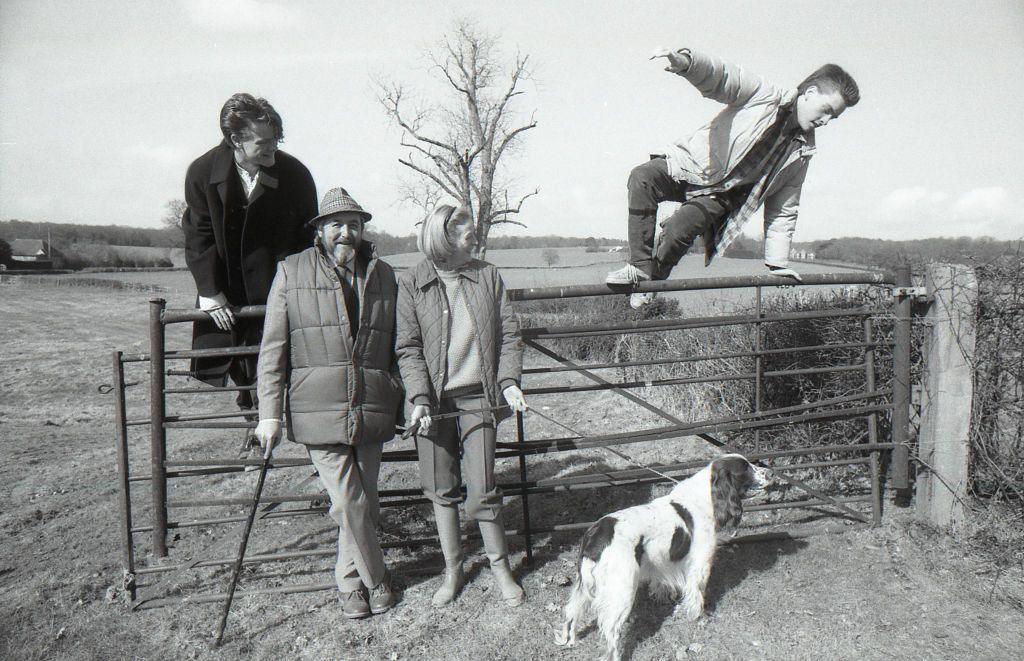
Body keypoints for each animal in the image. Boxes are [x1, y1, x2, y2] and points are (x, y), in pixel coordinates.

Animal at [557, 456, 770, 661]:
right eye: (745, 468)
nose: (771, 472)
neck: (706, 498)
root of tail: (596, 534)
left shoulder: (666, 563)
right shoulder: (700, 563)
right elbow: (697, 593)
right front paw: (698, 617)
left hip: (585, 584)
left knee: (572, 611)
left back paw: (569, 640)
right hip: (622, 590)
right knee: (610, 629)